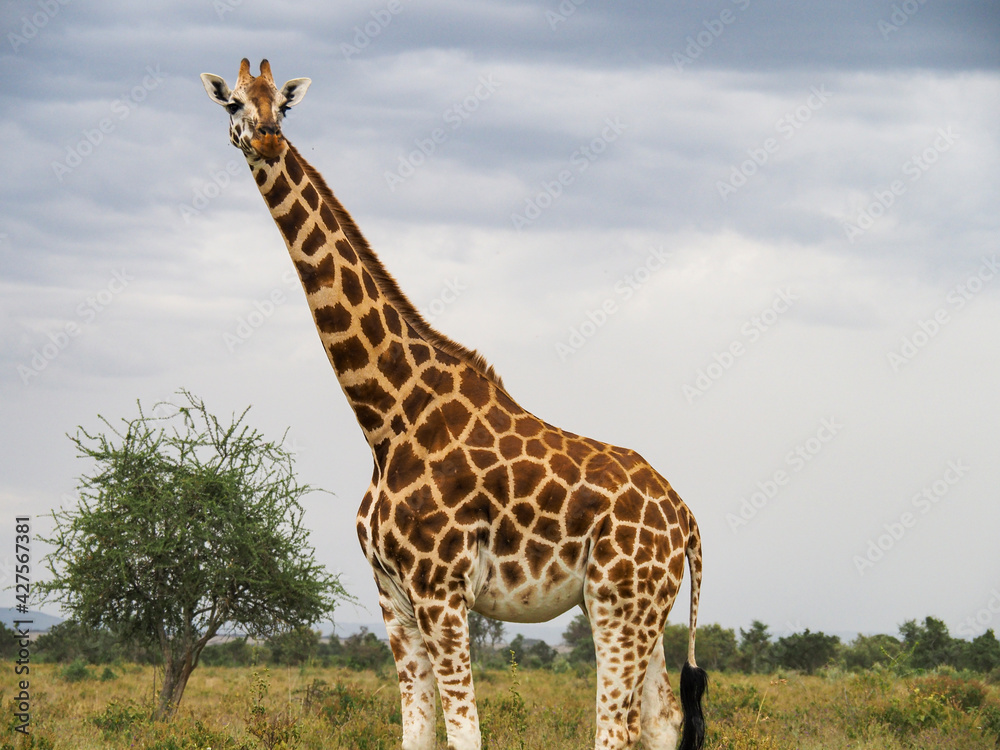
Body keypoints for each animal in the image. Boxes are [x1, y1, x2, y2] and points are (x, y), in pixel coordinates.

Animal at [201, 59, 707, 750]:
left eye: (282, 104)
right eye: (234, 104)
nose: (267, 139)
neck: (385, 422)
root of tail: (685, 518)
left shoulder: (440, 591)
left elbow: (466, 731)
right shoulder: (393, 597)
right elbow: (416, 731)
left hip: (618, 602)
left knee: (616, 728)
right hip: (645, 609)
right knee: (663, 720)